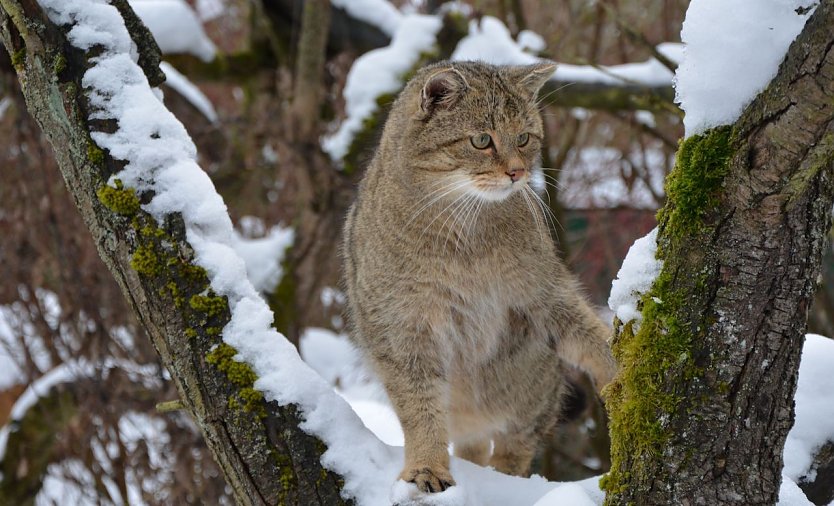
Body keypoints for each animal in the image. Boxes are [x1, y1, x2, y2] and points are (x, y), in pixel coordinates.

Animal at [340, 59, 616, 494]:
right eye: (482, 140)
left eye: (524, 138)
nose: (518, 172)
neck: (464, 233)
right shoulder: (402, 328)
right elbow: (421, 410)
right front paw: (427, 466)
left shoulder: (544, 293)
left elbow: (591, 336)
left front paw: (626, 365)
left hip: (533, 390)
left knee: (514, 448)